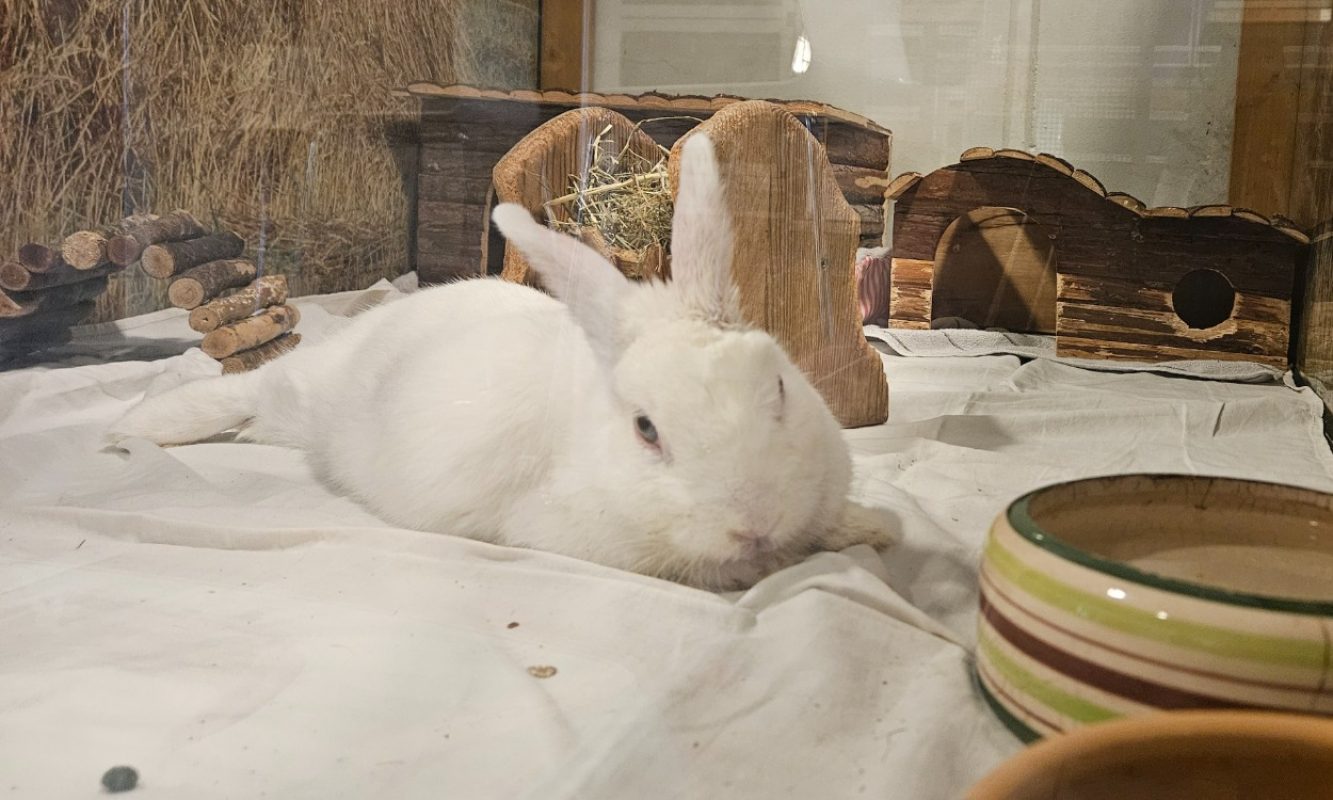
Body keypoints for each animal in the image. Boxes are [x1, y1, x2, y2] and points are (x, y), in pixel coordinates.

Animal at [107, 134, 897, 591]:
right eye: (646, 429)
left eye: (779, 388)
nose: (754, 521)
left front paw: (868, 528)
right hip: (295, 396)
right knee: (241, 393)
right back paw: (138, 424)